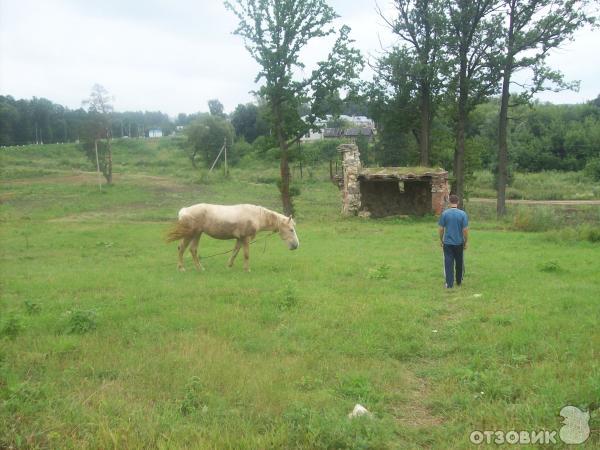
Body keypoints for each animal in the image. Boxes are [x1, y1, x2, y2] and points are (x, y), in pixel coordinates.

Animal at [165, 204, 298, 270]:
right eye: (291, 230)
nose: (296, 245)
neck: (256, 216)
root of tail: (184, 211)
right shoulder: (246, 238)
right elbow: (246, 254)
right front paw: (247, 269)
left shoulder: (240, 239)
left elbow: (235, 252)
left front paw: (229, 266)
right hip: (190, 234)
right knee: (182, 248)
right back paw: (181, 268)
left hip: (197, 234)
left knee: (193, 250)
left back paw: (200, 268)